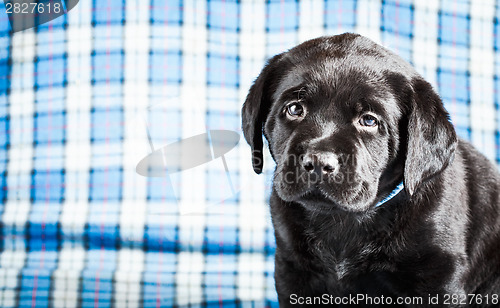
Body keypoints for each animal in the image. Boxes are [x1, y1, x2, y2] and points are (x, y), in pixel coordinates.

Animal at [240, 32, 498, 306]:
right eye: (294, 109)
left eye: (369, 120)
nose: (319, 162)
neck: (343, 219)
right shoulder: (293, 269)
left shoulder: (439, 273)